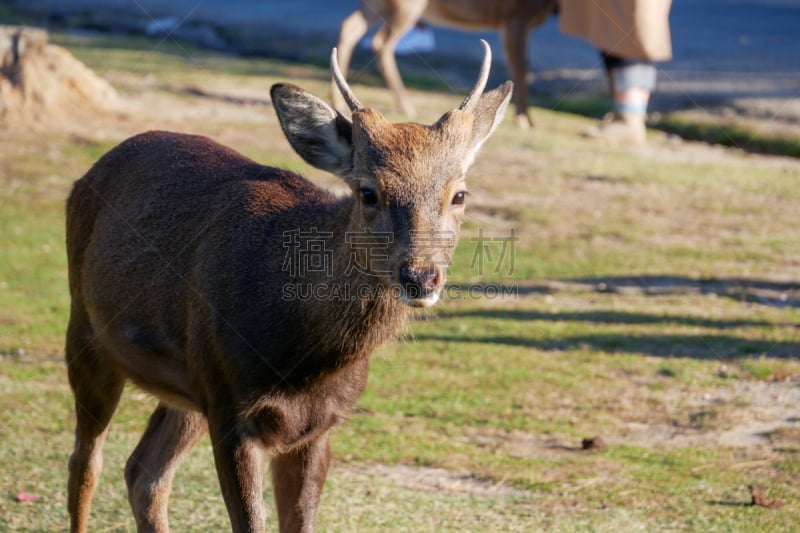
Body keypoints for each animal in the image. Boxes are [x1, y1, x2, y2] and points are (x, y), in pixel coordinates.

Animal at [64, 39, 512, 528]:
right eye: (368, 192)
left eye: (459, 194)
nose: (420, 276)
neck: (303, 358)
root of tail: (89, 172)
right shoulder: (231, 409)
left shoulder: (318, 426)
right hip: (88, 331)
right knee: (85, 463)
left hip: (190, 389)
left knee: (144, 472)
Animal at [332, 0, 556, 128]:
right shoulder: (514, 16)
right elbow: (521, 66)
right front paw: (523, 119)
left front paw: (527, 118)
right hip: (407, 6)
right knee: (380, 41)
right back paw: (406, 104)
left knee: (349, 28)